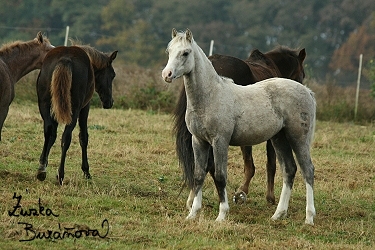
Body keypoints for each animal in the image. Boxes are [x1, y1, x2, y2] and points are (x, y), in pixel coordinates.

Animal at [36, 45, 117, 186]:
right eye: (112, 75)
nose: (109, 102)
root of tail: (65, 59)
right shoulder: (85, 108)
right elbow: (83, 137)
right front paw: (86, 171)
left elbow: (52, 136)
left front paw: (44, 164)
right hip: (73, 111)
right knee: (66, 138)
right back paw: (61, 175)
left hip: (45, 105)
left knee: (49, 131)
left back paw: (41, 170)